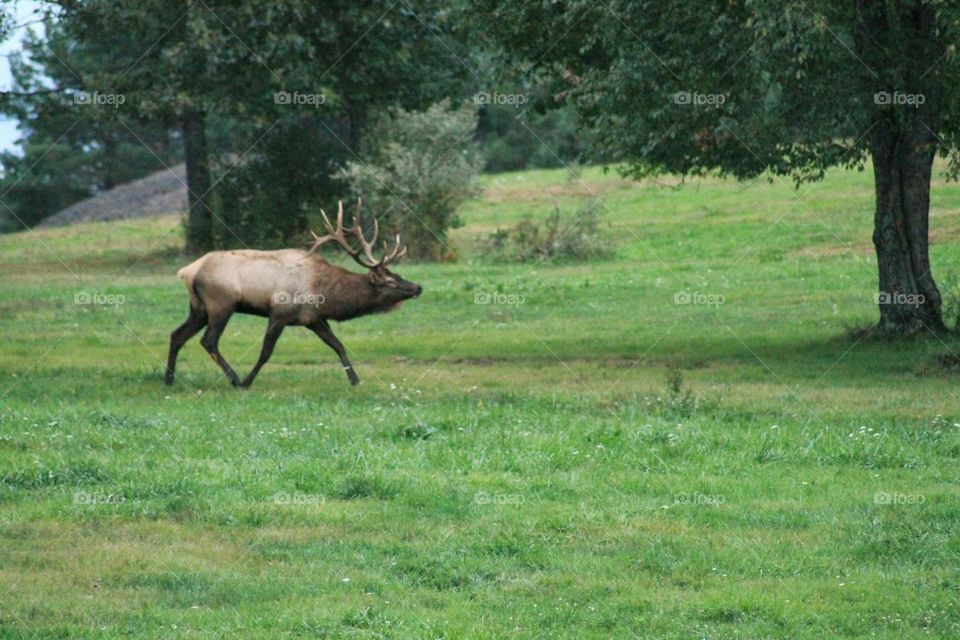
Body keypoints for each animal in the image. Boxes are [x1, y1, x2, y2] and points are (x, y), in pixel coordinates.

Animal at [167, 200, 422, 388]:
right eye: (391, 281)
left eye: (397, 274)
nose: (418, 287)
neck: (322, 292)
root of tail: (188, 271)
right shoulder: (279, 314)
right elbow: (266, 352)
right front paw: (248, 381)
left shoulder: (314, 318)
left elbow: (338, 345)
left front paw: (355, 379)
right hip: (221, 304)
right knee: (208, 340)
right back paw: (235, 378)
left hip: (198, 308)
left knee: (177, 335)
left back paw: (169, 378)